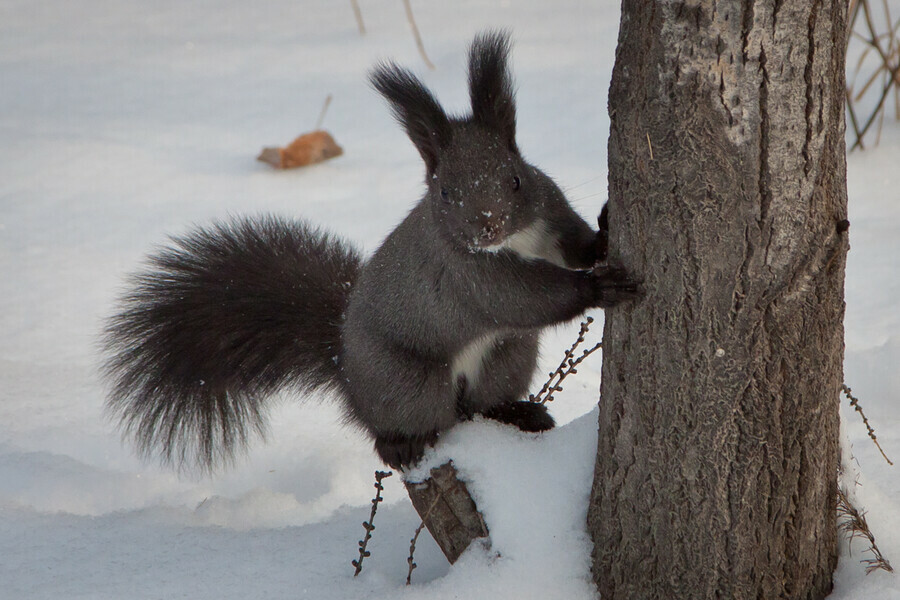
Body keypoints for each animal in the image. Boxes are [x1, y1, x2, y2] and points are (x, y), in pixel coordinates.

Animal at [102, 31, 640, 474]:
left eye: (516, 178)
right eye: (445, 191)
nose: (487, 227)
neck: (514, 242)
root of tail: (344, 367)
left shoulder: (549, 217)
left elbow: (574, 246)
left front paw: (604, 236)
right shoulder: (466, 273)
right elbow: (523, 298)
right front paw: (598, 287)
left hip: (507, 355)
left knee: (482, 404)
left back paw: (518, 411)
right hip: (408, 382)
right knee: (410, 421)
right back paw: (399, 445)